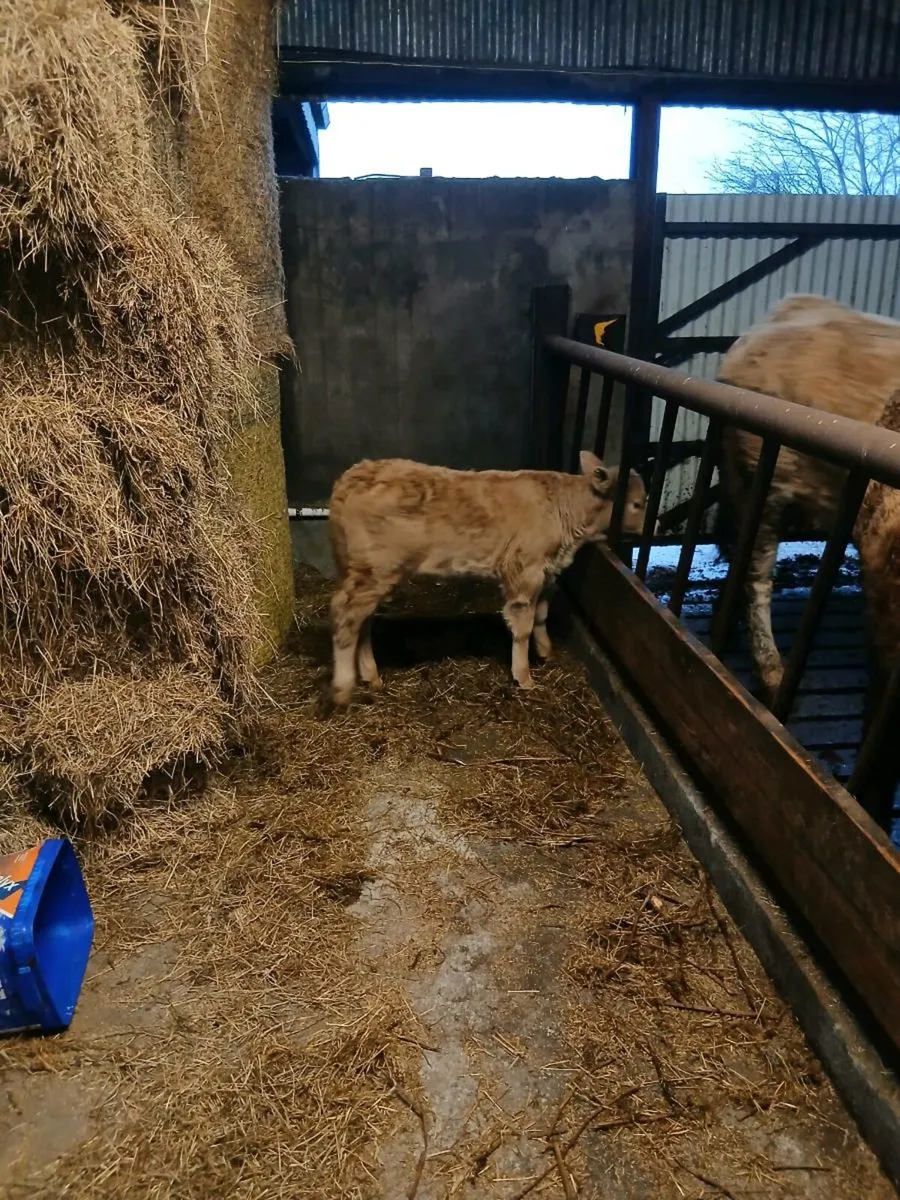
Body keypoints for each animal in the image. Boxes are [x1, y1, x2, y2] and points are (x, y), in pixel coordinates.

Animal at [327, 452, 647, 706]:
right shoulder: (524, 570)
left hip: (367, 574)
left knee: (363, 621)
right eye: (637, 504)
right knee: (345, 615)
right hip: (375, 570)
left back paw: (370, 675)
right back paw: (343, 688)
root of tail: (353, 475)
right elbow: (523, 625)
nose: (649, 530)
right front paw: (524, 677)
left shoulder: (545, 572)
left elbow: (542, 614)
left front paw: (546, 652)